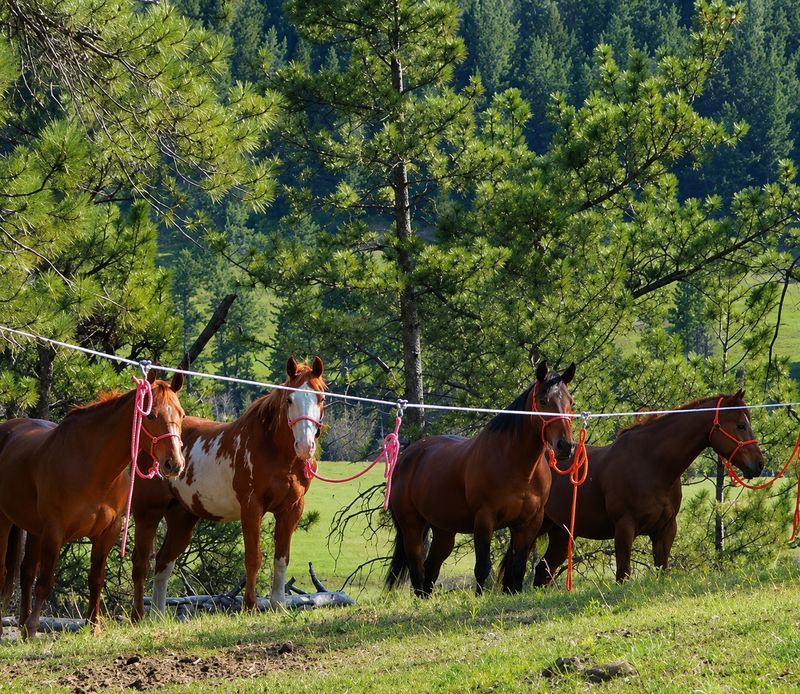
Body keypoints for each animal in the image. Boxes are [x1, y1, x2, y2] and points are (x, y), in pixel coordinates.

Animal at [0, 370, 185, 638]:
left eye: (181, 414)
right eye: (150, 415)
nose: (175, 463)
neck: (92, 467)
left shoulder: (107, 532)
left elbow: (96, 579)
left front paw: (93, 626)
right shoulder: (54, 532)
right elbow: (45, 583)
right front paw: (34, 626)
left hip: (34, 530)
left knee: (26, 573)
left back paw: (23, 626)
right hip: (5, 522)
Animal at [131, 355, 326, 619]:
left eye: (321, 398)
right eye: (289, 399)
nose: (305, 446)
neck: (275, 451)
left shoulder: (292, 509)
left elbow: (281, 558)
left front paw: (278, 604)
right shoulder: (252, 507)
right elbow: (253, 558)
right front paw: (250, 606)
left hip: (182, 517)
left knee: (163, 562)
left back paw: (158, 616)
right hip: (147, 513)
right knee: (141, 563)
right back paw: (139, 616)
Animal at [385, 361, 576, 597]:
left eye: (571, 402)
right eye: (543, 400)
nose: (565, 446)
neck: (518, 468)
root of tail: (407, 455)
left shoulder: (529, 524)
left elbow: (518, 567)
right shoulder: (485, 519)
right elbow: (483, 567)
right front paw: (479, 597)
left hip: (444, 530)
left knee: (431, 568)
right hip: (411, 526)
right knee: (417, 568)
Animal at [530, 390, 765, 586]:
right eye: (741, 425)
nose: (759, 464)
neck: (651, 464)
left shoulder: (665, 530)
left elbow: (662, 570)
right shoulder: (624, 528)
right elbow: (623, 575)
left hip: (561, 532)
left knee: (543, 571)